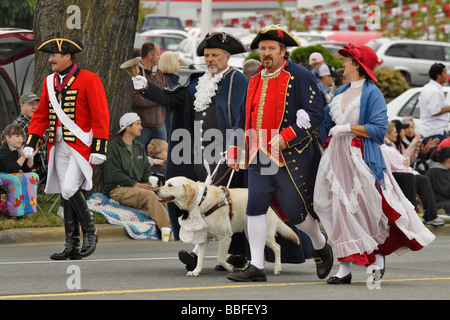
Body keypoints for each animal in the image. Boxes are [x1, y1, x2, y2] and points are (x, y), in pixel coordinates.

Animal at [155, 176, 298, 276]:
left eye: (170, 185)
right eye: (165, 183)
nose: (155, 189)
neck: (201, 200)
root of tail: (270, 206)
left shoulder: (225, 237)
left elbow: (220, 258)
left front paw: (229, 267)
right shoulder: (204, 239)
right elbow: (200, 258)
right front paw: (196, 271)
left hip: (266, 234)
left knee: (278, 247)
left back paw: (277, 268)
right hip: (251, 233)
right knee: (261, 252)